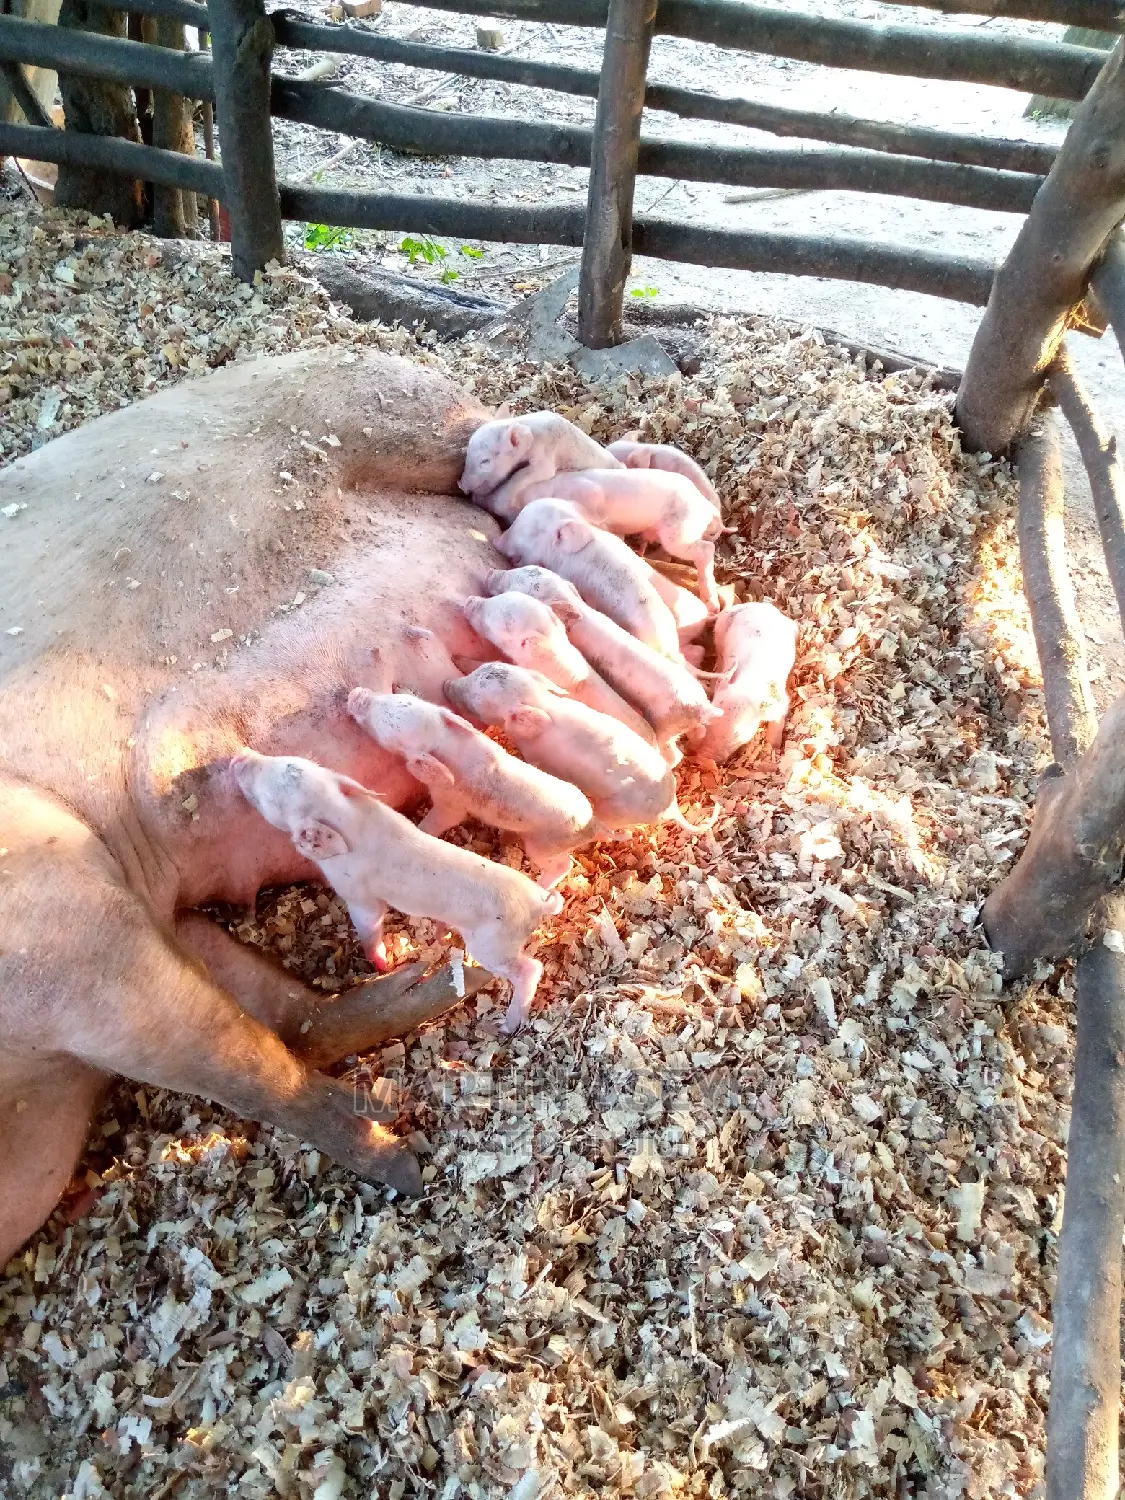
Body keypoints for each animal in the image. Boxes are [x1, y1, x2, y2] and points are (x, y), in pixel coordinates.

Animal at [232, 750, 562, 1034]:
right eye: (289, 760)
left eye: (268, 797)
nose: (240, 756)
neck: (348, 820)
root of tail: (539, 903)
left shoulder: (359, 894)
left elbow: (369, 924)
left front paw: (381, 964)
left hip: (493, 944)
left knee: (531, 968)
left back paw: (506, 1025)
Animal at [347, 687, 595, 887]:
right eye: (395, 697)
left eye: (385, 734)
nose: (355, 693)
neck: (446, 745)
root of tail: (591, 824)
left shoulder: (450, 804)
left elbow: (440, 821)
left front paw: (420, 830)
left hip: (543, 846)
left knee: (563, 865)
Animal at [444, 662, 679, 832]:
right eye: (475, 672)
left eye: (477, 700)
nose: (446, 683)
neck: (540, 703)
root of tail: (672, 808)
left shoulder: (536, 757)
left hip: (618, 810)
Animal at [484, 566, 724, 763]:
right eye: (520, 569)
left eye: (519, 586)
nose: (491, 573)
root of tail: (703, 706)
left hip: (666, 723)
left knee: (673, 753)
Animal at [693, 602, 799, 763]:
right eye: (710, 723)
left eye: (737, 735)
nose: (701, 759)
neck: (748, 684)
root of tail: (758, 604)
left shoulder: (781, 697)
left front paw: (773, 748)